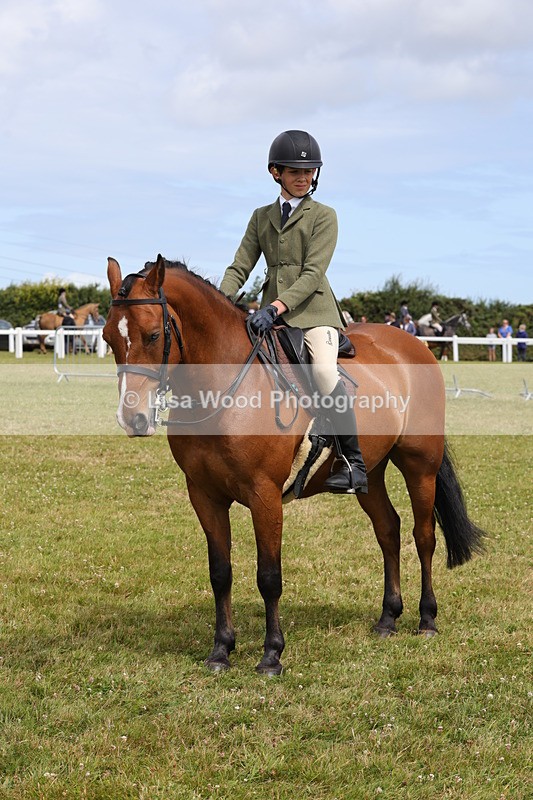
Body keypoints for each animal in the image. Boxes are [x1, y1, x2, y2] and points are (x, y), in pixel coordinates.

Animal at [103, 256, 485, 675]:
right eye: (107, 338)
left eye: (154, 335)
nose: (132, 418)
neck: (221, 385)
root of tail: (413, 343)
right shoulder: (204, 495)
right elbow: (220, 573)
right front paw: (221, 650)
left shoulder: (264, 495)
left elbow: (269, 576)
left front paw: (272, 654)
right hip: (370, 472)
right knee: (388, 530)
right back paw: (388, 618)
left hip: (420, 465)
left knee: (424, 535)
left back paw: (427, 619)